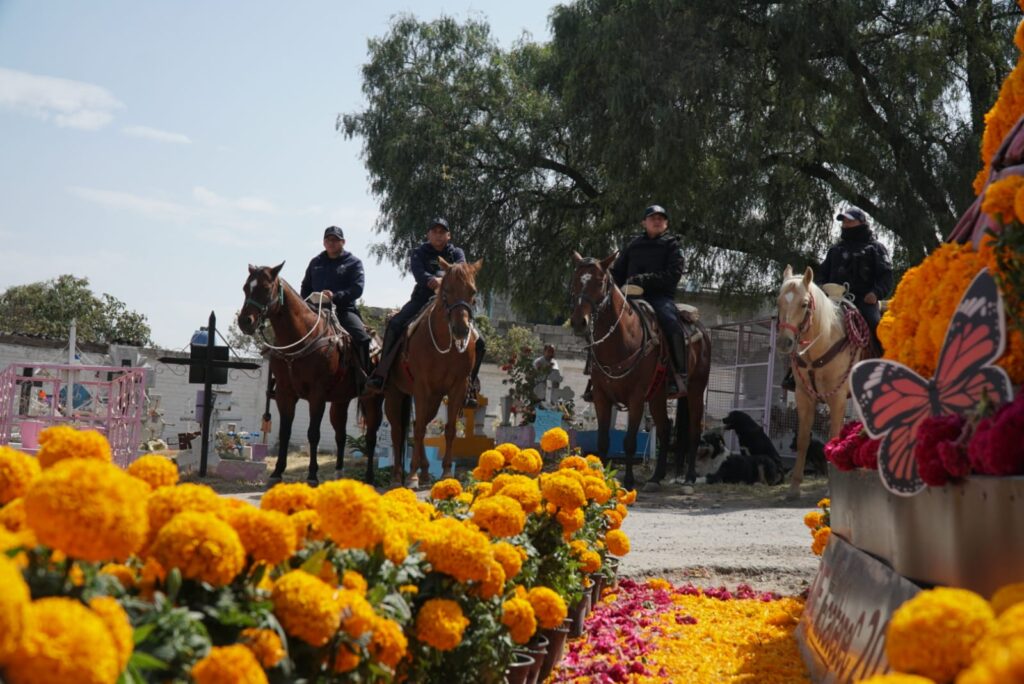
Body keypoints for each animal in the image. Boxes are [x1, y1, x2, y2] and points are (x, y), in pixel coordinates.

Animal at [236, 262, 380, 485]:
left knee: (371, 437)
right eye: (245, 288)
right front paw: (277, 472)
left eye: (266, 288)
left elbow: (313, 434)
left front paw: (312, 475)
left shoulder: (316, 395)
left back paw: (369, 477)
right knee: (340, 435)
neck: (302, 338)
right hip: (340, 401)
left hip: (372, 399)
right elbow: (285, 432)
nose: (245, 321)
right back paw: (339, 473)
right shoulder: (285, 394)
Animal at [376, 259, 483, 489]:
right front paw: (411, 476)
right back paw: (398, 475)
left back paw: (425, 472)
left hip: (433, 399)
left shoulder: (457, 388)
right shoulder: (421, 388)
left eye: (473, 291)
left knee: (420, 423)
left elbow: (449, 429)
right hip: (395, 394)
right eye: (446, 290)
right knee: (398, 431)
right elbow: (416, 433)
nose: (461, 330)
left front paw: (445, 472)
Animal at [569, 253, 712, 489]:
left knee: (694, 430)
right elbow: (602, 441)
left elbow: (629, 441)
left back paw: (690, 477)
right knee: (664, 428)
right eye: (575, 281)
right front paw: (601, 479)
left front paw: (628, 481)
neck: (622, 341)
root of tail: (700, 328)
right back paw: (656, 477)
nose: (579, 322)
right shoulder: (601, 397)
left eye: (599, 282)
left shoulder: (636, 398)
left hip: (695, 391)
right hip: (657, 397)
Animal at [778, 266, 868, 497]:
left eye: (804, 304)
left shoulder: (837, 399)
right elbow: (803, 440)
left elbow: (833, 438)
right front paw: (794, 488)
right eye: (778, 301)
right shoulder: (803, 397)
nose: (785, 342)